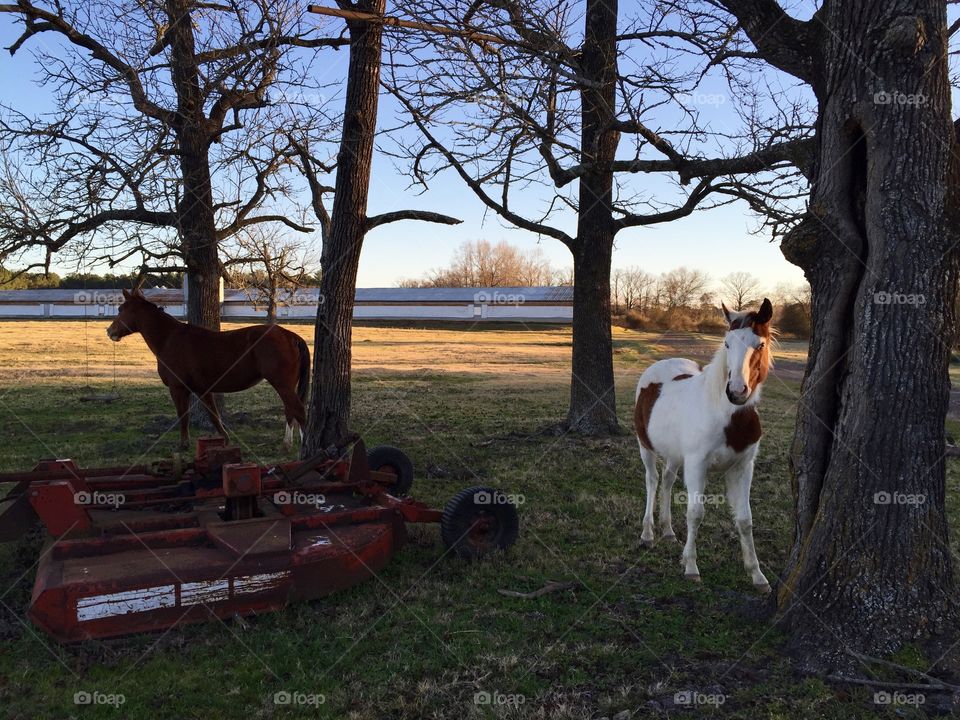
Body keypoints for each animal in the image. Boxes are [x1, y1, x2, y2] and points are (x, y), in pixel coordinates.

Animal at [109, 288, 312, 448]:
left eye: (121, 309)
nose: (110, 331)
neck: (168, 339)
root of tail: (289, 335)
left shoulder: (178, 388)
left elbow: (183, 416)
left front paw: (184, 445)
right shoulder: (202, 390)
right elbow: (213, 416)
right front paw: (225, 439)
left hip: (282, 384)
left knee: (299, 410)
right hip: (286, 385)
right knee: (291, 410)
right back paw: (287, 444)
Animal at [632, 296, 776, 592]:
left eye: (760, 344)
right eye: (727, 343)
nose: (736, 392)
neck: (726, 415)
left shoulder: (743, 467)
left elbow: (745, 520)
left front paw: (757, 575)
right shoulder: (698, 466)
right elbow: (695, 513)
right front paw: (690, 567)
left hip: (675, 455)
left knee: (667, 481)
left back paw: (668, 531)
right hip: (645, 446)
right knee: (652, 481)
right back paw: (648, 533)